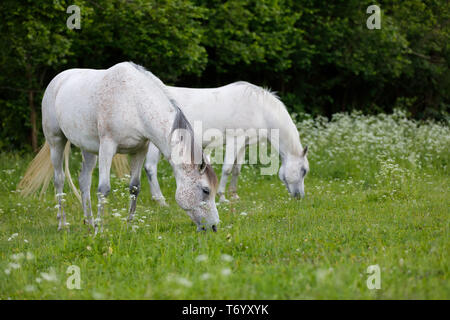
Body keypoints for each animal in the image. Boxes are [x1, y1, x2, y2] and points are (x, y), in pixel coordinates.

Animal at [18, 62, 219, 232]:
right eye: (206, 190)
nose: (214, 227)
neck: (134, 102)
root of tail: (57, 80)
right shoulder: (107, 147)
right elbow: (104, 189)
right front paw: (100, 232)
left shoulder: (139, 150)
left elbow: (134, 188)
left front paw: (129, 226)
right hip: (56, 141)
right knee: (59, 180)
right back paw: (63, 224)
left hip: (88, 149)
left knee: (84, 180)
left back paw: (89, 222)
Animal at [141, 80, 310, 205]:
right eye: (303, 171)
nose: (300, 196)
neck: (259, 109)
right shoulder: (235, 141)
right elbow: (227, 168)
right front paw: (222, 197)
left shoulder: (244, 144)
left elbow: (236, 169)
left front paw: (234, 195)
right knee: (150, 168)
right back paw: (161, 201)